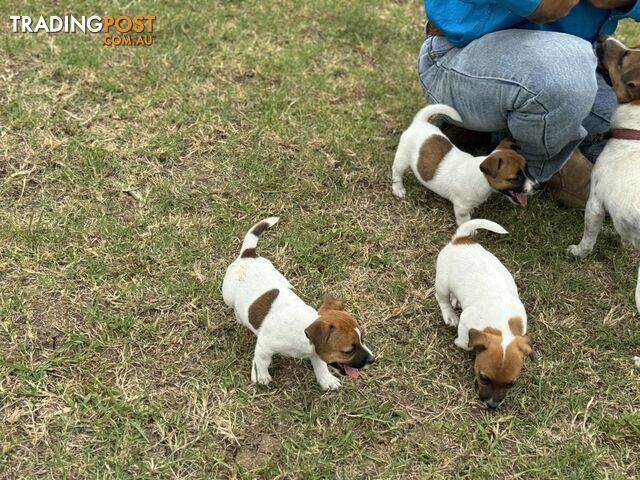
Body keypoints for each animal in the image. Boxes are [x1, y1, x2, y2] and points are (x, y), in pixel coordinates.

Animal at [221, 218, 376, 390]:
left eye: (362, 338)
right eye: (348, 351)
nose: (372, 359)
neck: (304, 330)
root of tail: (248, 255)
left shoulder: (315, 353)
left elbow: (320, 365)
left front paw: (326, 380)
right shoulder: (264, 346)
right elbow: (261, 362)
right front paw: (261, 376)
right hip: (228, 295)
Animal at [392, 104, 536, 226]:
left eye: (527, 168)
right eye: (514, 178)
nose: (538, 186)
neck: (480, 178)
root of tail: (420, 122)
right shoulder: (461, 207)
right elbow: (465, 220)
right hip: (402, 159)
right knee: (396, 172)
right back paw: (398, 189)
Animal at [436, 219, 536, 406]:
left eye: (510, 384)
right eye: (484, 378)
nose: (492, 405)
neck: (501, 326)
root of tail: (461, 240)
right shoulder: (466, 321)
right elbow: (465, 341)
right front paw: (461, 343)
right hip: (442, 283)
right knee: (442, 299)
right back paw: (449, 314)